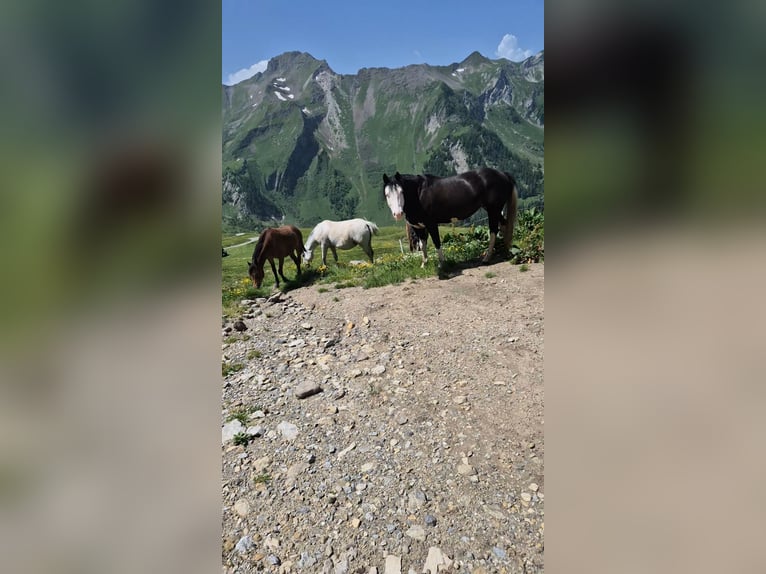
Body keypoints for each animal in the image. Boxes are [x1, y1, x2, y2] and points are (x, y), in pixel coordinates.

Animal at [383, 167, 518, 267]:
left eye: (401, 192)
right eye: (387, 194)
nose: (398, 214)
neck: (418, 194)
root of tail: (503, 174)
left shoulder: (431, 224)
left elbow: (437, 242)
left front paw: (442, 264)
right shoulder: (418, 227)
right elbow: (423, 244)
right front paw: (424, 264)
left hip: (493, 210)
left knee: (494, 230)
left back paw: (487, 257)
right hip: (495, 210)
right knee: (504, 225)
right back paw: (505, 250)